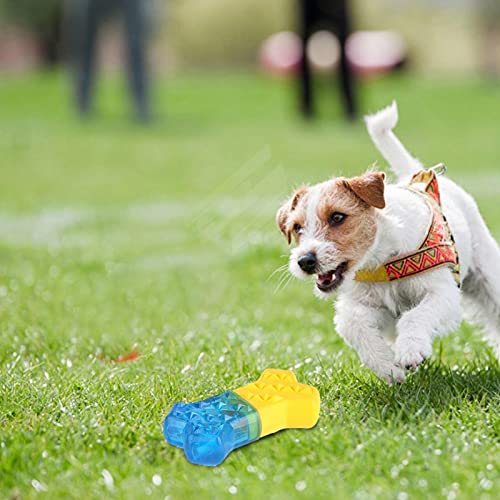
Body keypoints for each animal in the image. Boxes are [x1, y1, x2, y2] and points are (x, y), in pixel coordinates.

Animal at [276, 102, 500, 382]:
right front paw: (387, 366)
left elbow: (416, 316)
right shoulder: (368, 306)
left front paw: (411, 349)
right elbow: (352, 324)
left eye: (337, 217)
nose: (305, 261)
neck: (382, 260)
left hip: (488, 277)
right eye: (297, 228)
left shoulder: (442, 293)